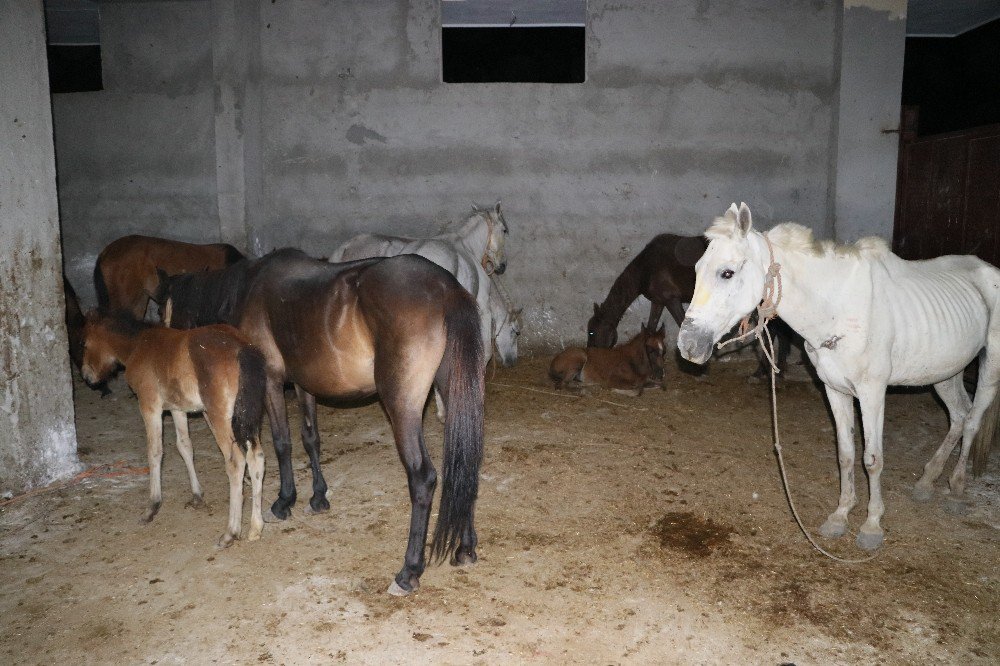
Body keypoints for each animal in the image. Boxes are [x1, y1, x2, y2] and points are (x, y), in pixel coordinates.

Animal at [81, 308, 270, 548]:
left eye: (85, 343)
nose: (87, 377)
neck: (137, 345)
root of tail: (242, 347)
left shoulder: (150, 406)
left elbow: (154, 452)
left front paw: (152, 506)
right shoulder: (177, 409)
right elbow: (185, 447)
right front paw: (197, 495)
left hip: (220, 417)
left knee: (236, 462)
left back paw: (231, 532)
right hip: (245, 417)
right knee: (256, 457)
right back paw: (255, 527)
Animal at [157, 248, 484, 592]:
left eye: (160, 307)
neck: (246, 289)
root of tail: (446, 288)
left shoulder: (272, 380)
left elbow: (282, 442)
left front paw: (283, 501)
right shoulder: (304, 385)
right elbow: (310, 438)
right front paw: (317, 497)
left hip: (402, 406)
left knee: (423, 477)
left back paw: (409, 571)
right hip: (453, 391)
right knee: (464, 464)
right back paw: (464, 549)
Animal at [676, 201, 996, 548]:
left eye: (727, 272)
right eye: (697, 269)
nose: (687, 345)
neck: (838, 307)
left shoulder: (872, 393)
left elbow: (872, 459)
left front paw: (871, 526)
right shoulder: (834, 389)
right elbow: (845, 454)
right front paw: (840, 516)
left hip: (990, 369)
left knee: (973, 420)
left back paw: (957, 487)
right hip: (945, 372)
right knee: (959, 415)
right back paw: (927, 481)